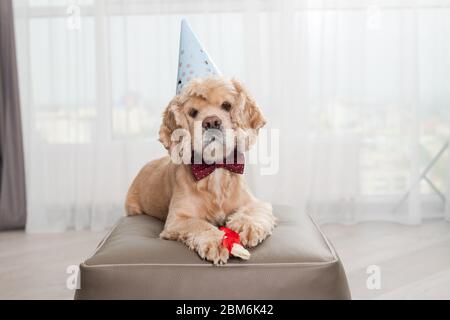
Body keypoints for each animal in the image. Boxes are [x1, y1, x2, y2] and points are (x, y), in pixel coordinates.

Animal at [125, 77, 276, 264]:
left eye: (227, 105)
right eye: (192, 112)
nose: (211, 121)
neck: (215, 169)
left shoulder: (253, 202)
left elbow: (253, 211)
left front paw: (246, 226)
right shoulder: (177, 219)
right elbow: (199, 224)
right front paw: (216, 242)